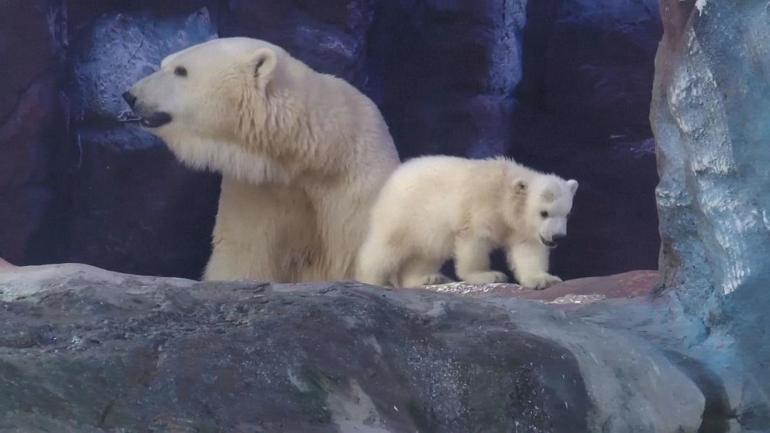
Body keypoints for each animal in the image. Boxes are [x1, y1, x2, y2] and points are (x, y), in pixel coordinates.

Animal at [123, 36, 400, 280]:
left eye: (181, 70)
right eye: (164, 63)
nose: (130, 95)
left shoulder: (357, 187)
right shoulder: (258, 189)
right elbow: (243, 251)